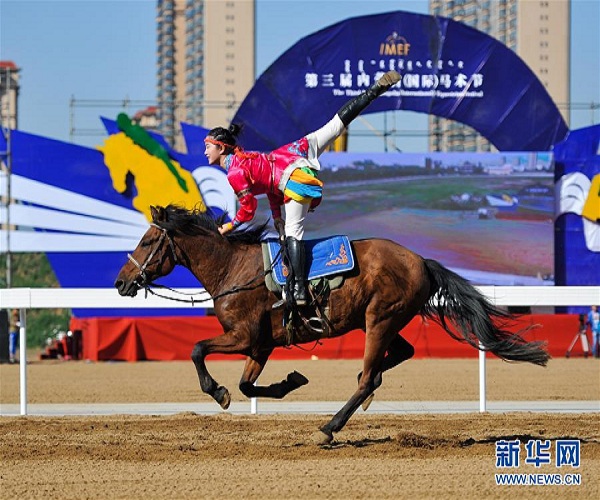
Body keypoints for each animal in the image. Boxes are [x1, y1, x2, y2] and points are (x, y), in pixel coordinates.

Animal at [113, 205, 548, 444]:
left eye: (147, 241)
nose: (121, 282)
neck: (234, 268)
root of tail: (421, 261)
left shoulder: (242, 335)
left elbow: (197, 349)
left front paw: (217, 391)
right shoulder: (261, 344)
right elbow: (248, 384)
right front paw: (291, 381)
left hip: (379, 319)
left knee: (369, 378)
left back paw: (330, 426)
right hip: (380, 321)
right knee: (396, 356)